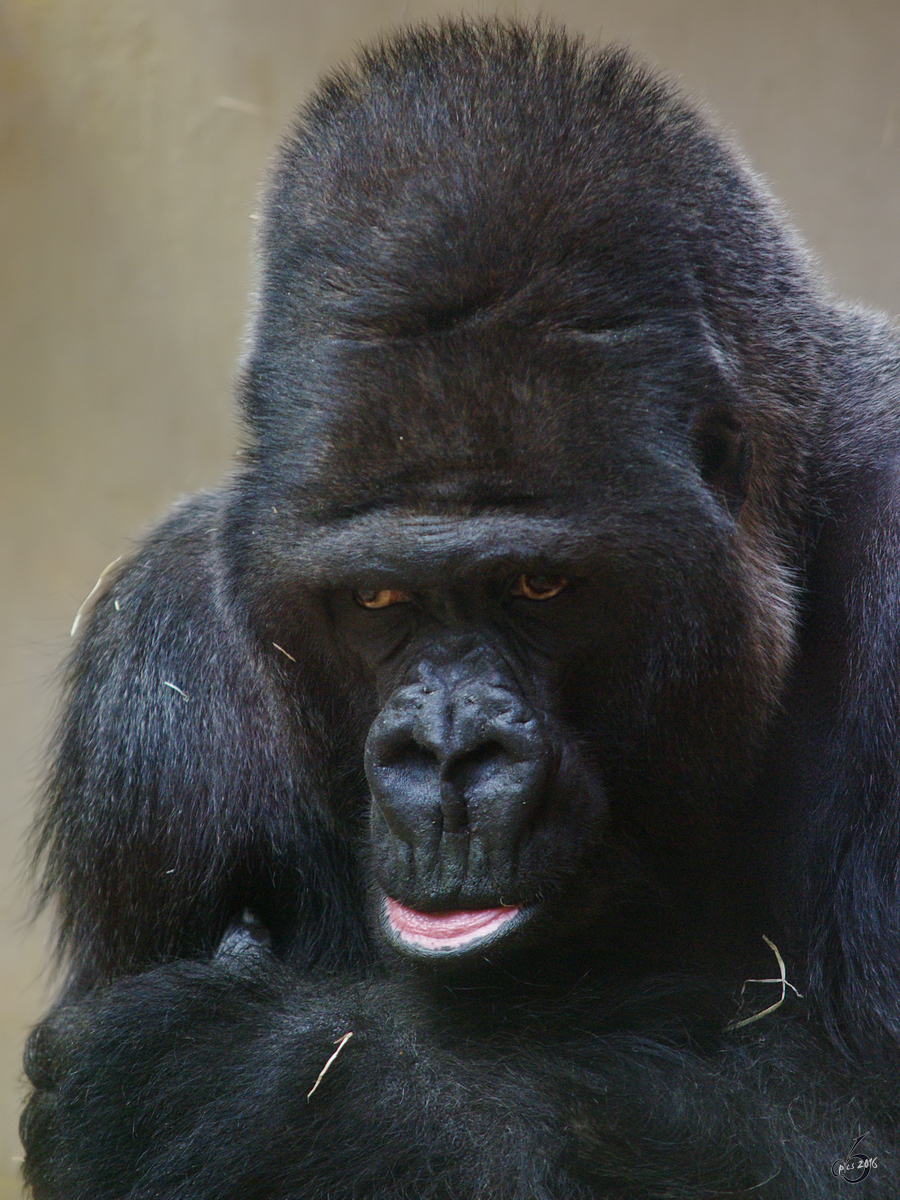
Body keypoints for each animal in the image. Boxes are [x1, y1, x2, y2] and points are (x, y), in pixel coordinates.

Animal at [19, 18, 900, 1200]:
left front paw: (245, 1091)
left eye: (540, 586)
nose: (445, 757)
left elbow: (852, 1132)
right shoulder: (150, 694)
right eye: (374, 596)